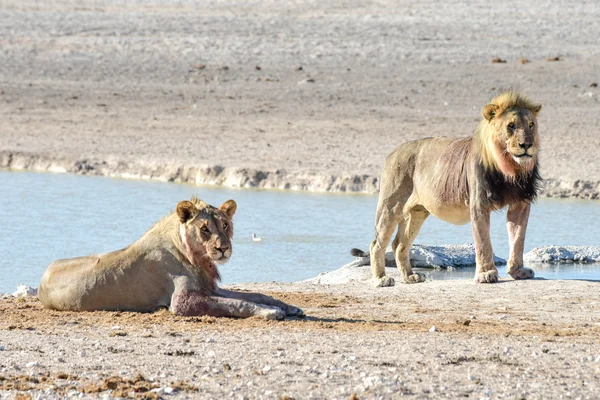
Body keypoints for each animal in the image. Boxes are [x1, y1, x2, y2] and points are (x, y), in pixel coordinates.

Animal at [39, 195, 304, 320]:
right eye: (205, 229)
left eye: (225, 225)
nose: (224, 248)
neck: (198, 258)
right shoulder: (181, 301)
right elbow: (236, 304)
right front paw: (270, 312)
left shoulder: (209, 288)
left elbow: (254, 295)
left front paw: (288, 306)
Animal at [354, 90, 540, 286]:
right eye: (511, 126)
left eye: (531, 125)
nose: (527, 145)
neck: (510, 169)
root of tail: (392, 152)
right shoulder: (479, 204)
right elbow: (483, 242)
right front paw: (486, 274)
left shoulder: (520, 203)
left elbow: (518, 238)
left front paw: (518, 271)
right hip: (390, 207)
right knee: (376, 244)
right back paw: (381, 279)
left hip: (417, 213)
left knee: (399, 245)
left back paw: (410, 277)